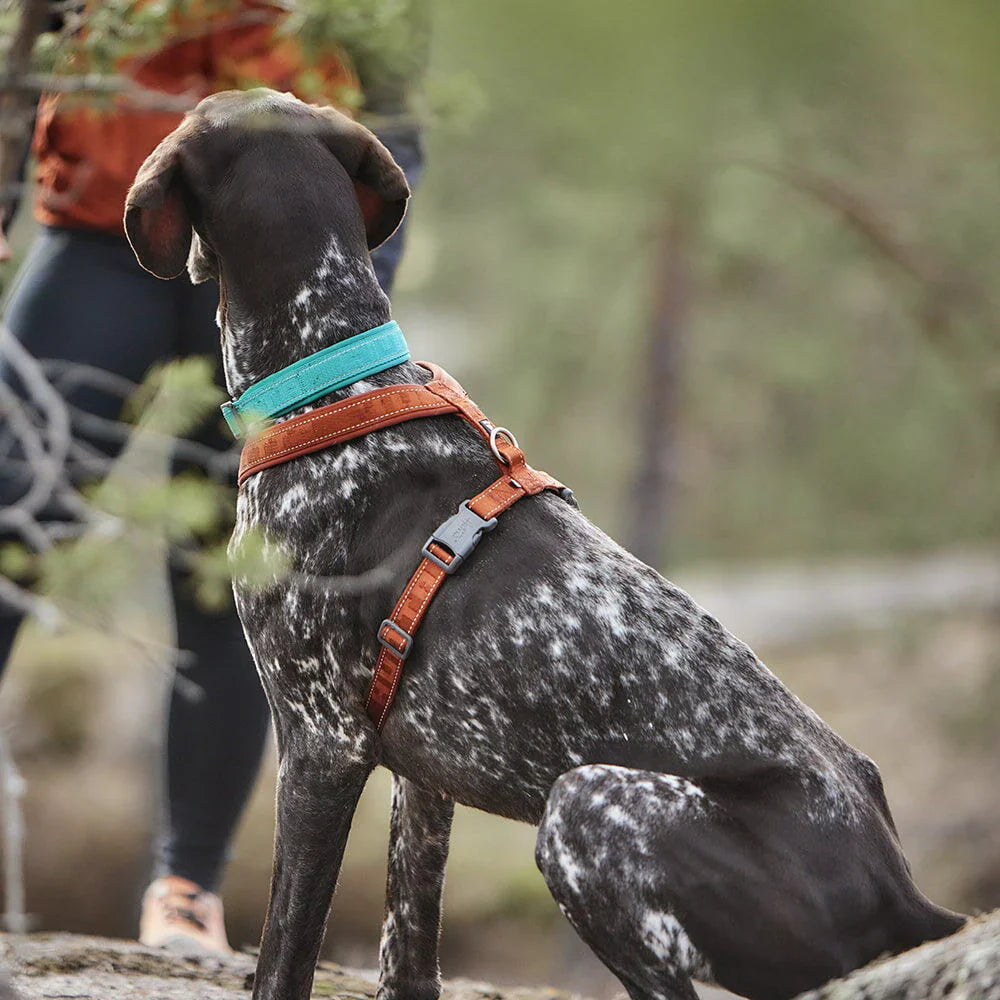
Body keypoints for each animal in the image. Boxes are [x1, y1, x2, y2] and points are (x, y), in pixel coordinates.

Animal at [121, 88, 964, 1000]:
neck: (335, 386)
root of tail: (900, 891)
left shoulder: (321, 746)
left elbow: (284, 954)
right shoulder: (422, 782)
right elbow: (408, 953)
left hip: (584, 810)